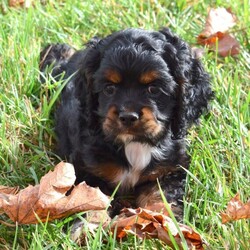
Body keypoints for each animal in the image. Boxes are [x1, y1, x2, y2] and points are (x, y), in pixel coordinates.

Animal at [39, 27, 213, 221]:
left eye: (154, 89)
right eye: (109, 88)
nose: (128, 117)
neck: (134, 144)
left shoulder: (167, 171)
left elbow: (161, 200)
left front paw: (164, 224)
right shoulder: (89, 171)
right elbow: (93, 200)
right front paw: (90, 225)